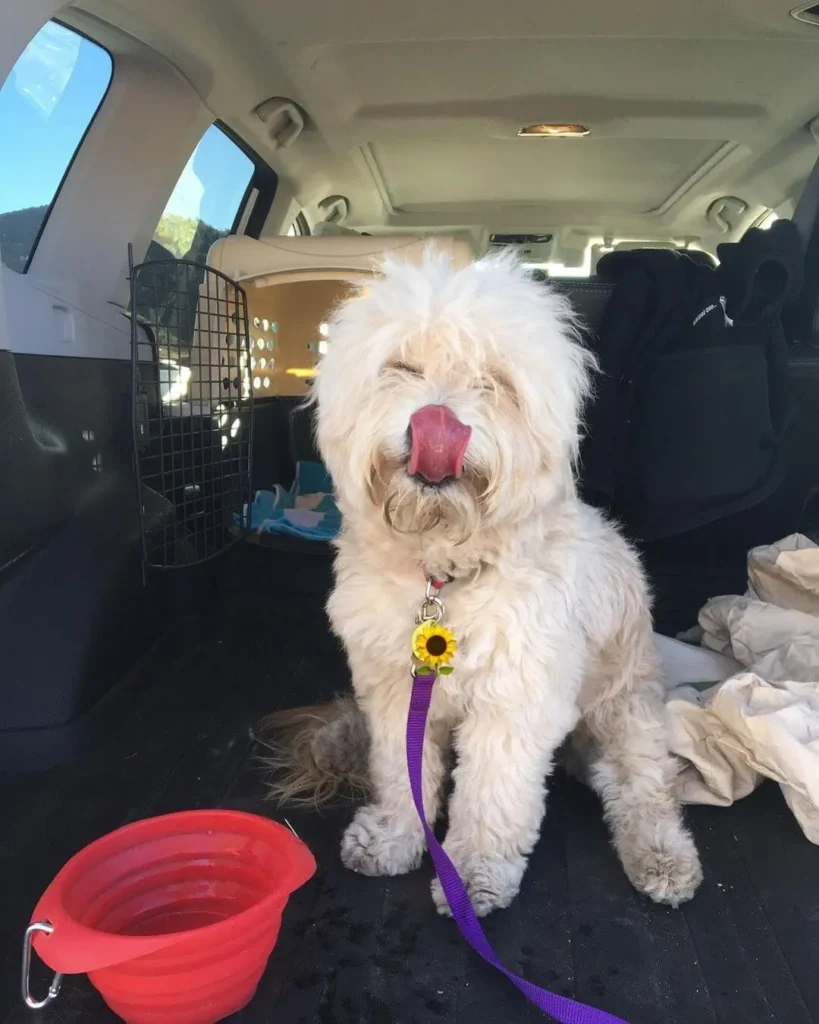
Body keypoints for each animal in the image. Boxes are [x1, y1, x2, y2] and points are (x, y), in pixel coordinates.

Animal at [272, 251, 700, 917]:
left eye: (492, 380)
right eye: (402, 367)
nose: (436, 423)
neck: (444, 572)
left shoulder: (514, 703)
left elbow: (492, 797)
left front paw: (471, 873)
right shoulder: (395, 691)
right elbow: (402, 772)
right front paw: (393, 836)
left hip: (626, 716)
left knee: (643, 790)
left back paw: (662, 857)